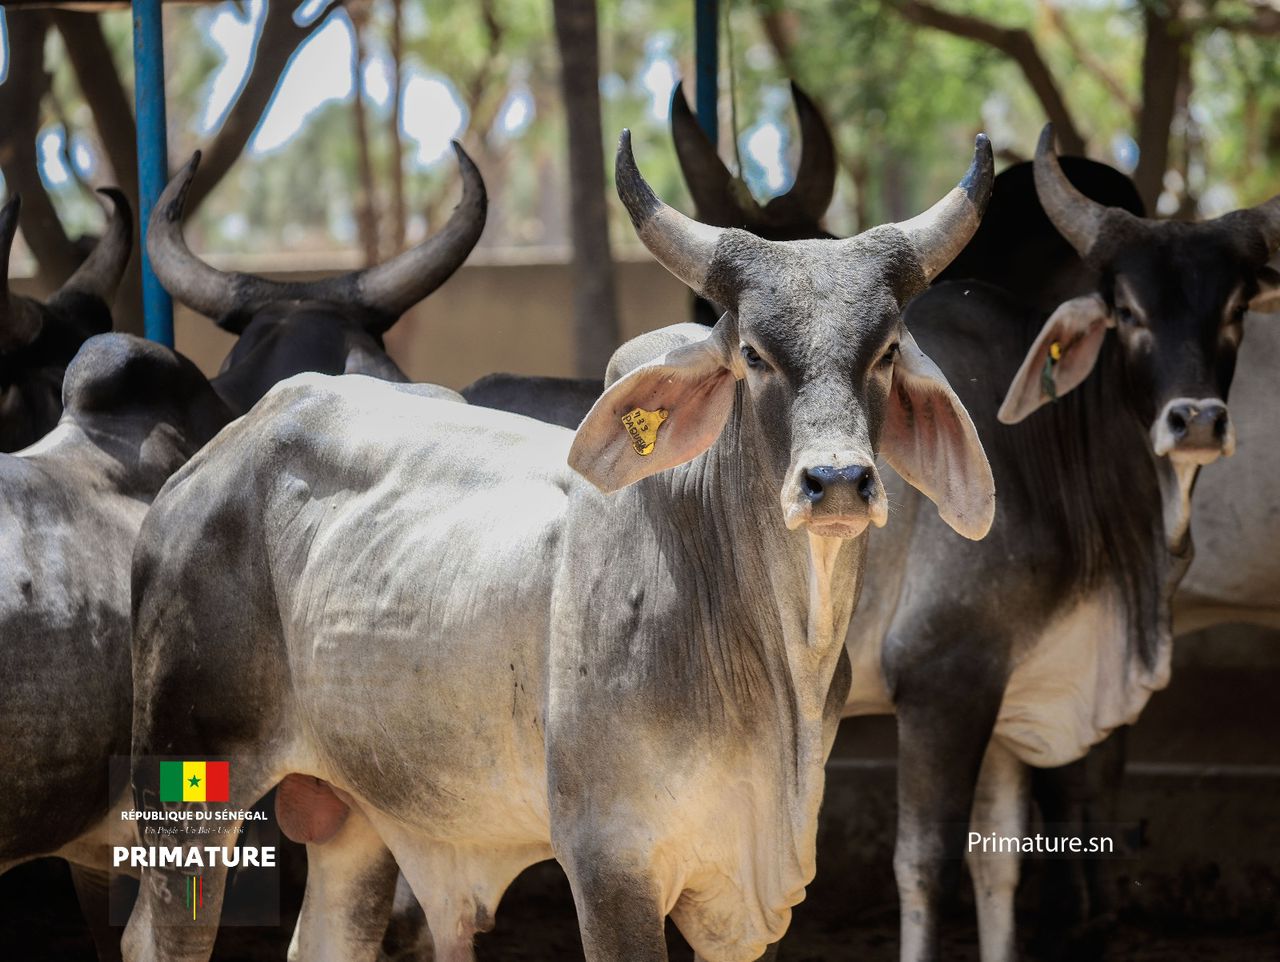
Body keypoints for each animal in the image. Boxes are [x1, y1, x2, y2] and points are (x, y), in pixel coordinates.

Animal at [839, 126, 1280, 961]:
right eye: (1127, 309)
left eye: (1236, 308)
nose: (1196, 421)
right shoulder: (944, 684)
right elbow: (927, 867)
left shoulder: (1016, 688)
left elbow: (1000, 861)